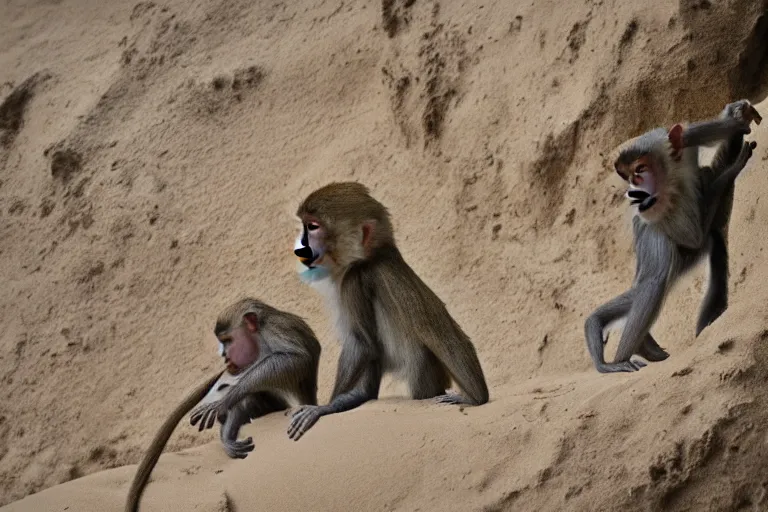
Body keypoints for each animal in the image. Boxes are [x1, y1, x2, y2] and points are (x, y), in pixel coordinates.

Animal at [125, 296, 320, 512]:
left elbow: (295, 359)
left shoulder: (275, 329)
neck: (258, 337)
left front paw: (224, 400)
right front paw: (226, 424)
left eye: (228, 341)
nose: (224, 356)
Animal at [284, 180, 488, 440]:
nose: (300, 248)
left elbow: (362, 344)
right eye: (305, 226)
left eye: (313, 227)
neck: (371, 255)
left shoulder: (352, 282)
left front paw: (325, 407)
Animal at [584, 99, 760, 372]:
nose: (633, 190)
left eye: (640, 170)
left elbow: (688, 137)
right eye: (629, 176)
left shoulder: (666, 145)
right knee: (655, 278)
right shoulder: (653, 220)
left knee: (712, 249)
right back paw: (623, 355)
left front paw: (736, 118)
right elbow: (676, 252)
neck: (669, 181)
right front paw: (732, 167)